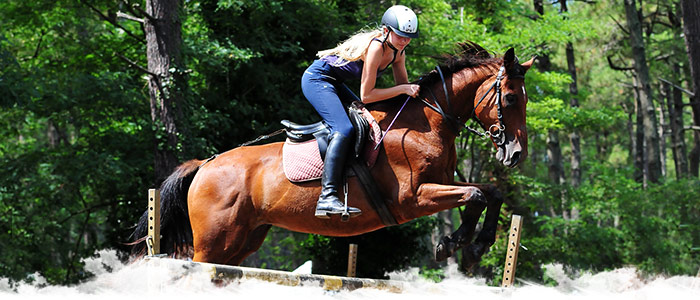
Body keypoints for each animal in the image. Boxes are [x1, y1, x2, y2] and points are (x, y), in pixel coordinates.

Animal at [131, 42, 532, 270]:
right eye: (511, 98)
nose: (516, 155)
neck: (428, 123)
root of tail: (204, 165)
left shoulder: (443, 183)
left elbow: (489, 192)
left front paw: (476, 244)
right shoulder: (412, 198)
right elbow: (476, 194)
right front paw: (452, 243)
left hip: (242, 241)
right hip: (214, 242)